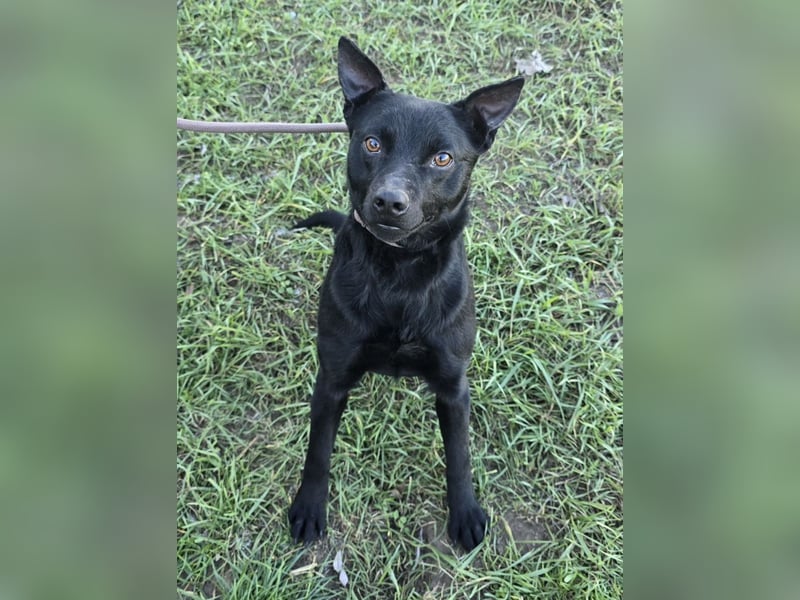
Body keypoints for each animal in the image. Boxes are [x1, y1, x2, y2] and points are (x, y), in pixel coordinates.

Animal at [288, 37, 523, 551]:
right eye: (372, 143)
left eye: (443, 158)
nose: (389, 202)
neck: (399, 272)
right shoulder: (332, 378)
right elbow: (318, 451)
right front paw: (309, 507)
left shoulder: (454, 386)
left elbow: (459, 456)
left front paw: (465, 513)